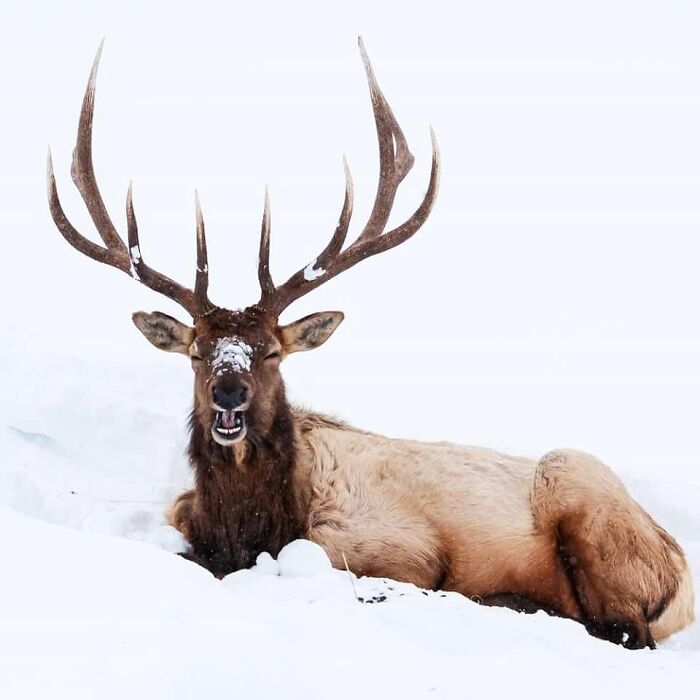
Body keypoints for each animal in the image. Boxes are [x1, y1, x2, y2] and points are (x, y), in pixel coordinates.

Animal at [47, 39, 694, 650]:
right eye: (197, 353)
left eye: (272, 352)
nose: (229, 393)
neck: (252, 523)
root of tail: (682, 579)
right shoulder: (183, 512)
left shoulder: (395, 547)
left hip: (581, 486)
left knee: (623, 628)